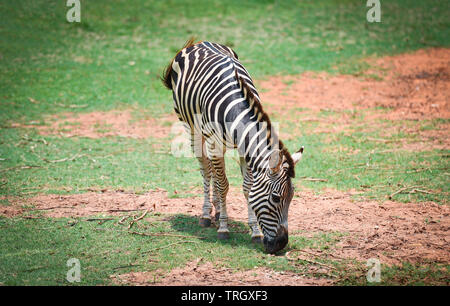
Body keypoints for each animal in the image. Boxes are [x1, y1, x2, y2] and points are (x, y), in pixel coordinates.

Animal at [160, 38, 304, 253]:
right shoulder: (214, 143)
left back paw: (218, 210)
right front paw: (224, 229)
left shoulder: (246, 150)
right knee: (206, 170)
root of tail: (198, 43)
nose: (281, 244)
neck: (236, 110)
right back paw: (206, 214)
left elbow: (247, 187)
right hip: (192, 130)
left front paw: (255, 231)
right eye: (276, 198)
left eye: (292, 196)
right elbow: (223, 185)